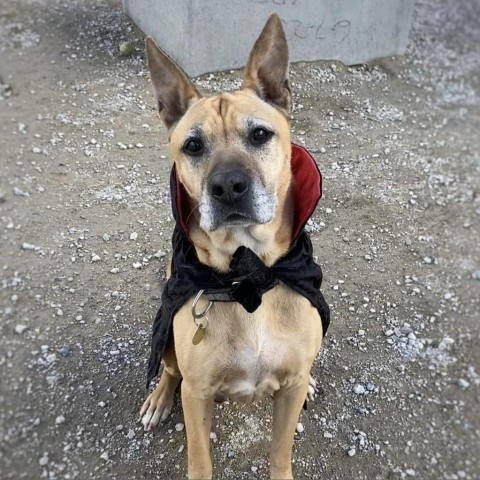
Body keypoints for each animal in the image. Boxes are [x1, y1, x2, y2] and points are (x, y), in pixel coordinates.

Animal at [139, 13, 330, 478]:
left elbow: (280, 453)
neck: (249, 276)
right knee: (169, 369)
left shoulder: (288, 391)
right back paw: (157, 398)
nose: (228, 187)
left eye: (260, 134)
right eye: (192, 145)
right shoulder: (197, 395)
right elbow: (200, 461)